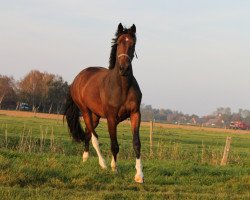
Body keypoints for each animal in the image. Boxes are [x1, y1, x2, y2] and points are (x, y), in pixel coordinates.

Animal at [63, 23, 144, 183]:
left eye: (133, 43)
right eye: (119, 42)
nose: (124, 69)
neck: (122, 86)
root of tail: (77, 78)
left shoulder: (135, 114)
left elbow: (136, 143)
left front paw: (139, 175)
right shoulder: (111, 118)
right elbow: (114, 145)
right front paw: (115, 169)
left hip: (95, 116)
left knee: (88, 134)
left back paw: (85, 158)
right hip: (86, 112)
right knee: (94, 137)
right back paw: (103, 164)